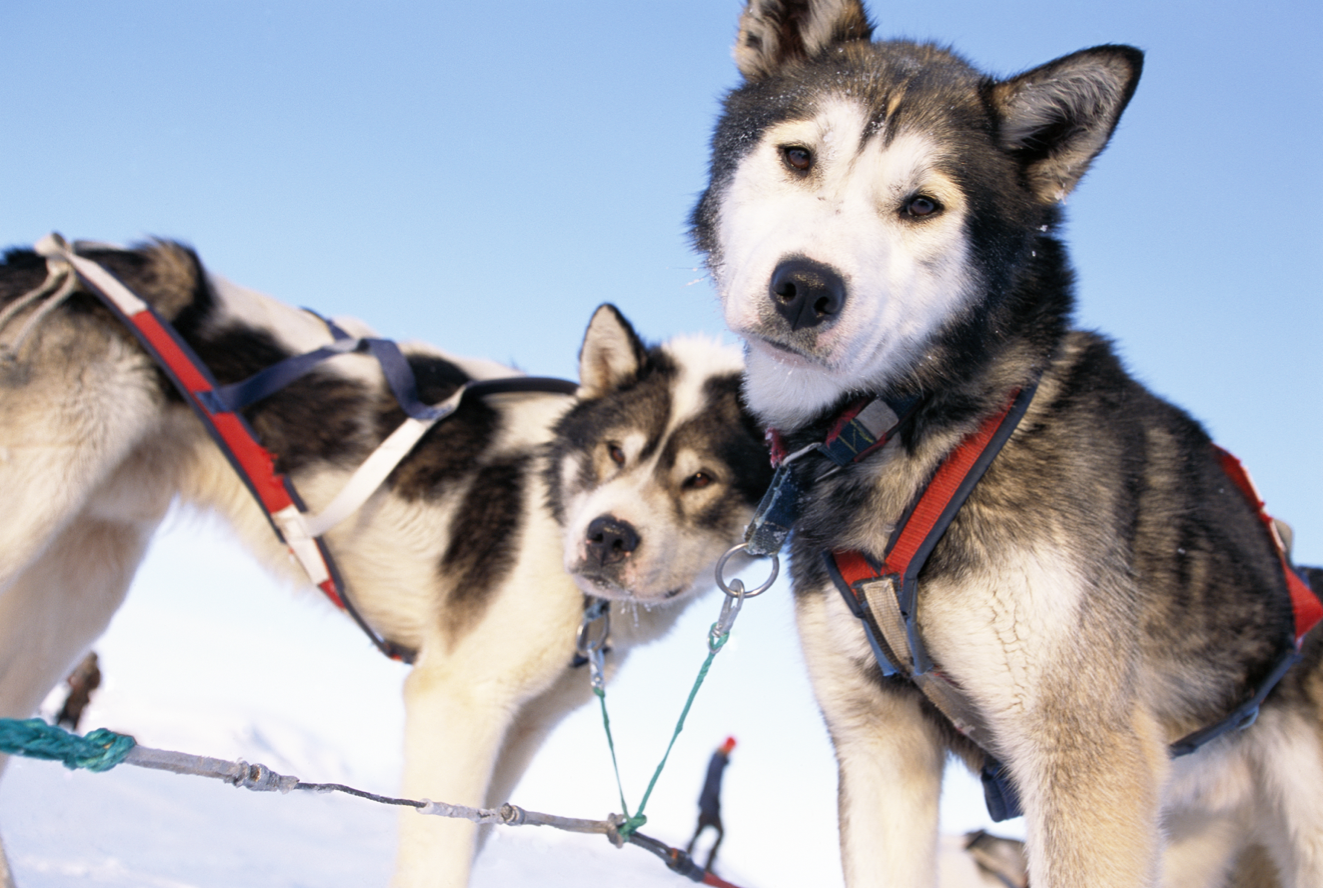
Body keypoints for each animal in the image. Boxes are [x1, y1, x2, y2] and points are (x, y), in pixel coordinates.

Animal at [0, 239, 772, 884]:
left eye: (698, 478)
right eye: (614, 451)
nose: (607, 535)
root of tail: (73, 259)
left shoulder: (519, 728)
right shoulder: (457, 702)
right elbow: (439, 859)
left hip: (83, 590)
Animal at [693, 1, 1323, 888]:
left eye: (922, 206)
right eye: (796, 157)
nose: (805, 287)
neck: (923, 425)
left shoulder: (1085, 756)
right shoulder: (880, 748)